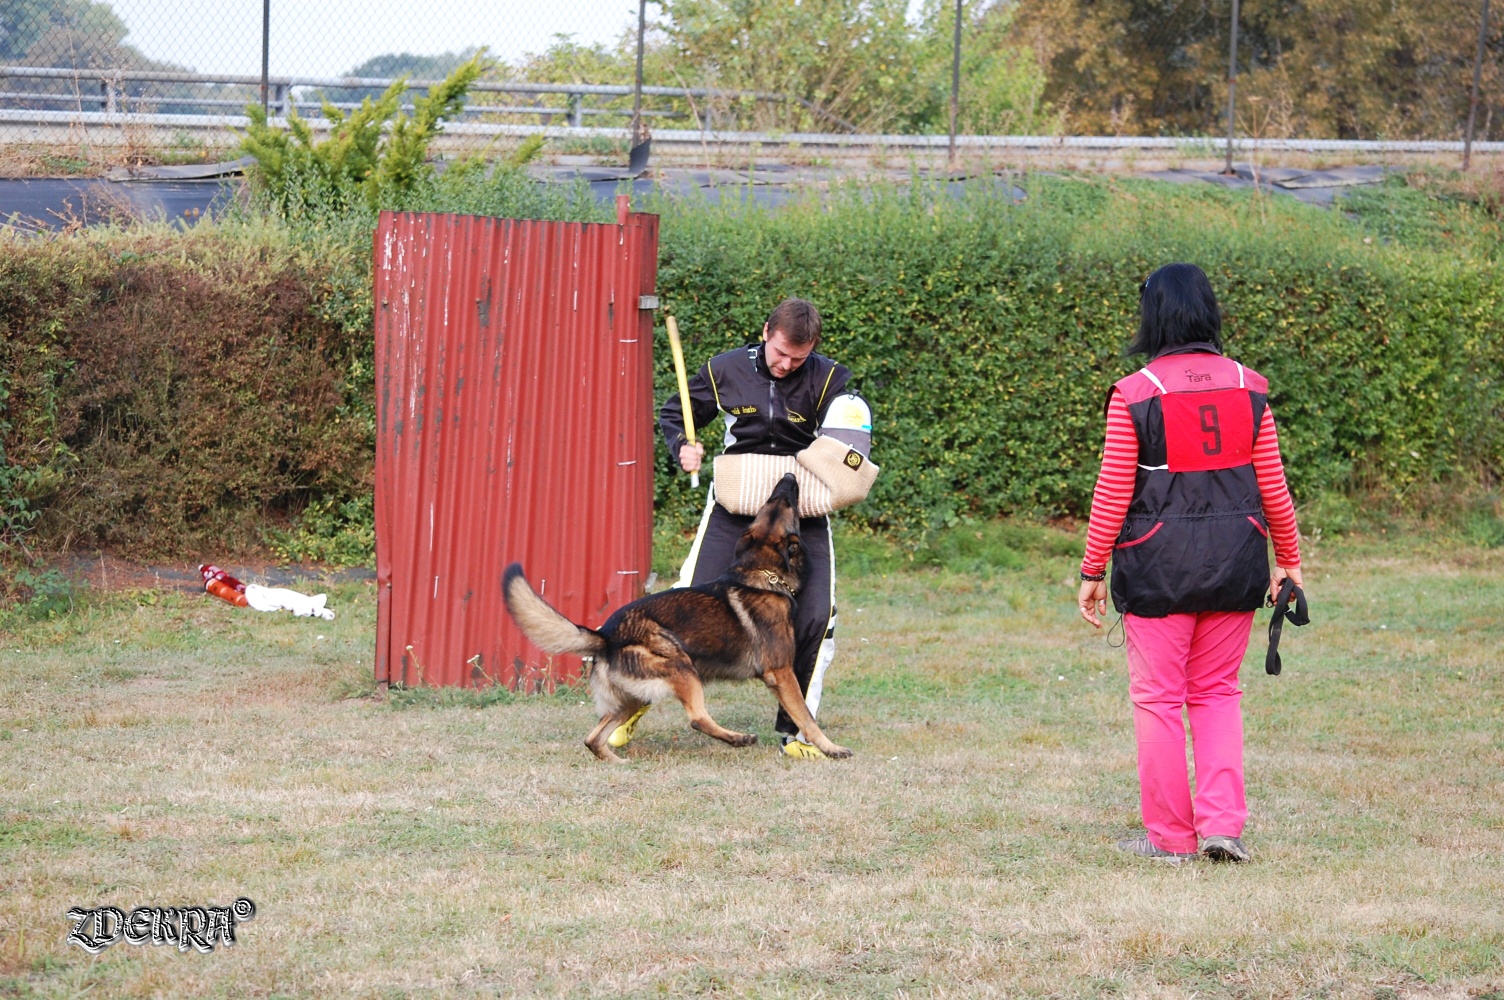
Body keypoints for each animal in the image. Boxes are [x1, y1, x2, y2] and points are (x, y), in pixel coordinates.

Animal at [505, 472, 854, 760]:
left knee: (593, 738)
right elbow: (806, 717)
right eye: (785, 502)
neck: (761, 572)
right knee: (697, 719)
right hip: (683, 667)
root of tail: (605, 636)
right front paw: (831, 748)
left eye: (772, 501)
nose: (790, 475)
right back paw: (738, 738)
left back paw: (620, 762)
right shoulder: (781, 673)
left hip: (631, 697)